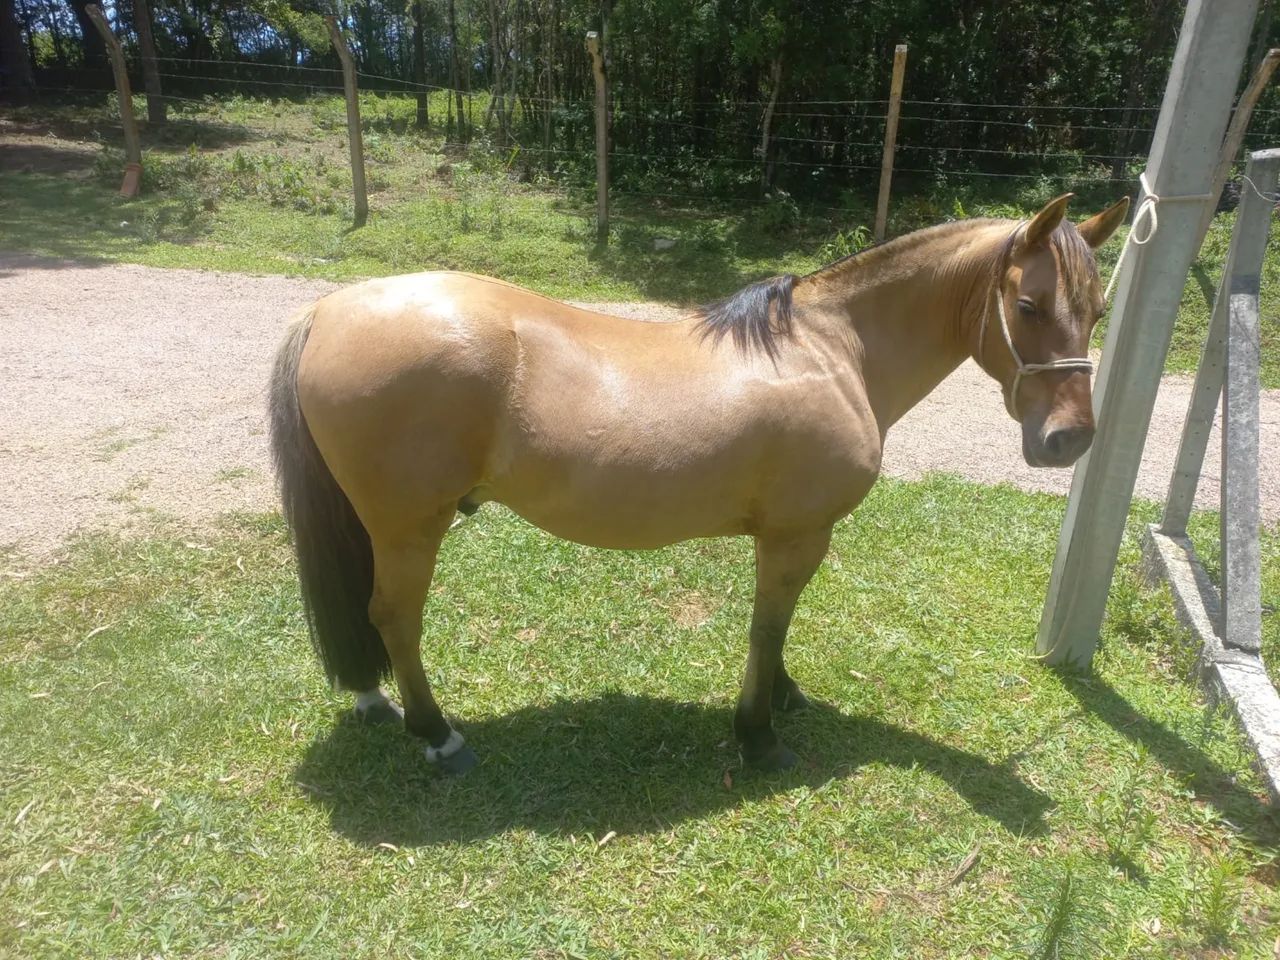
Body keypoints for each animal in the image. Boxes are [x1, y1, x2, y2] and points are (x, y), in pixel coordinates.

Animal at [269, 193, 1129, 775]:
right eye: (1028, 303)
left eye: (1098, 311)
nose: (1070, 439)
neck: (835, 350)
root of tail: (329, 312)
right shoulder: (796, 535)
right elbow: (766, 627)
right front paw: (758, 734)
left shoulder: (789, 537)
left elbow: (777, 627)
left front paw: (783, 698)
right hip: (410, 526)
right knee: (395, 617)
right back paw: (437, 734)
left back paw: (376, 701)